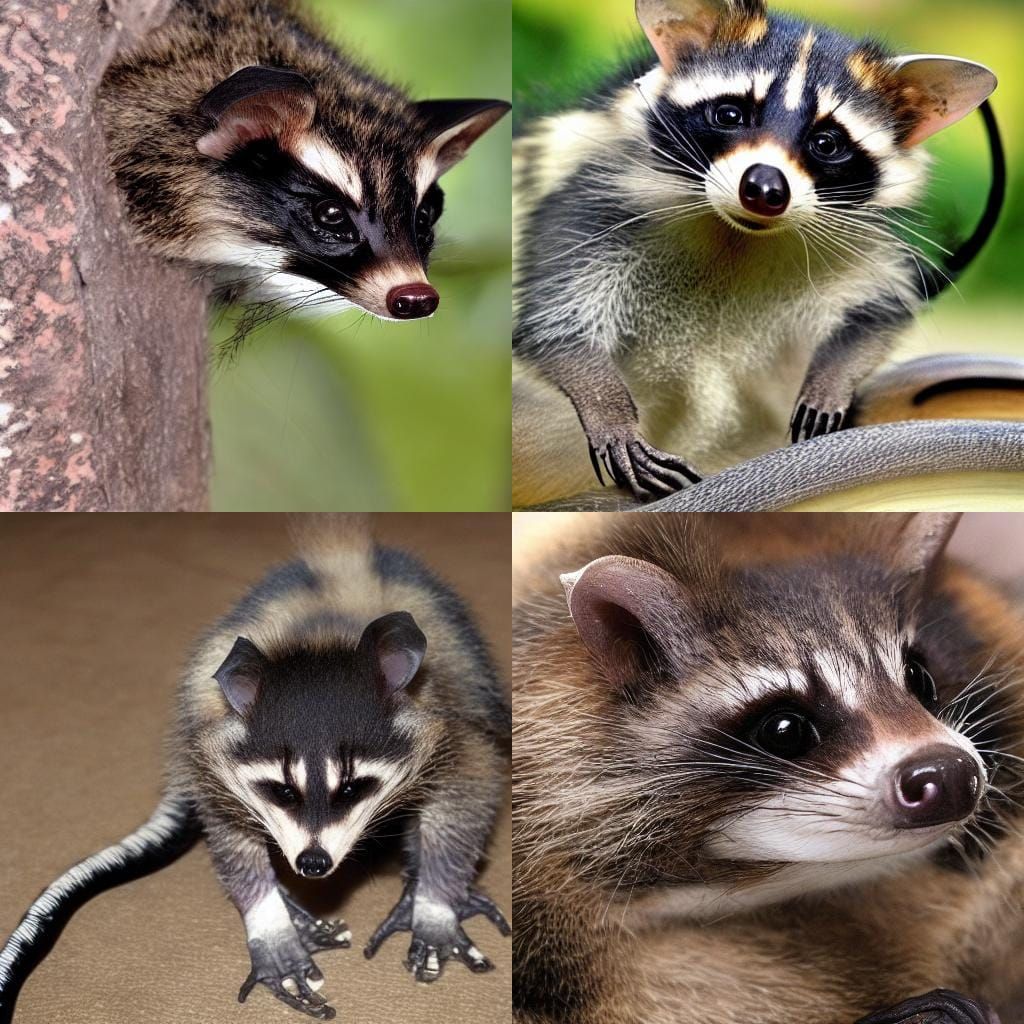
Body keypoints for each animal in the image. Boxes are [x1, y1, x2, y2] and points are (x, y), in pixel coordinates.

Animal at [0, 515, 510, 1022]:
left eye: (352, 789)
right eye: (281, 791)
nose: (312, 863)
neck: (325, 635)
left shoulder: (455, 727)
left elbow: (466, 802)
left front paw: (435, 904)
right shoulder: (213, 756)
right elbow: (230, 836)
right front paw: (271, 922)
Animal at [512, 0, 1003, 508]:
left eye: (826, 142)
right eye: (730, 114)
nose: (764, 189)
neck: (739, 234)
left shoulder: (862, 244)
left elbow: (874, 317)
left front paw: (832, 380)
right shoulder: (595, 204)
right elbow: (554, 328)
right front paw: (609, 410)